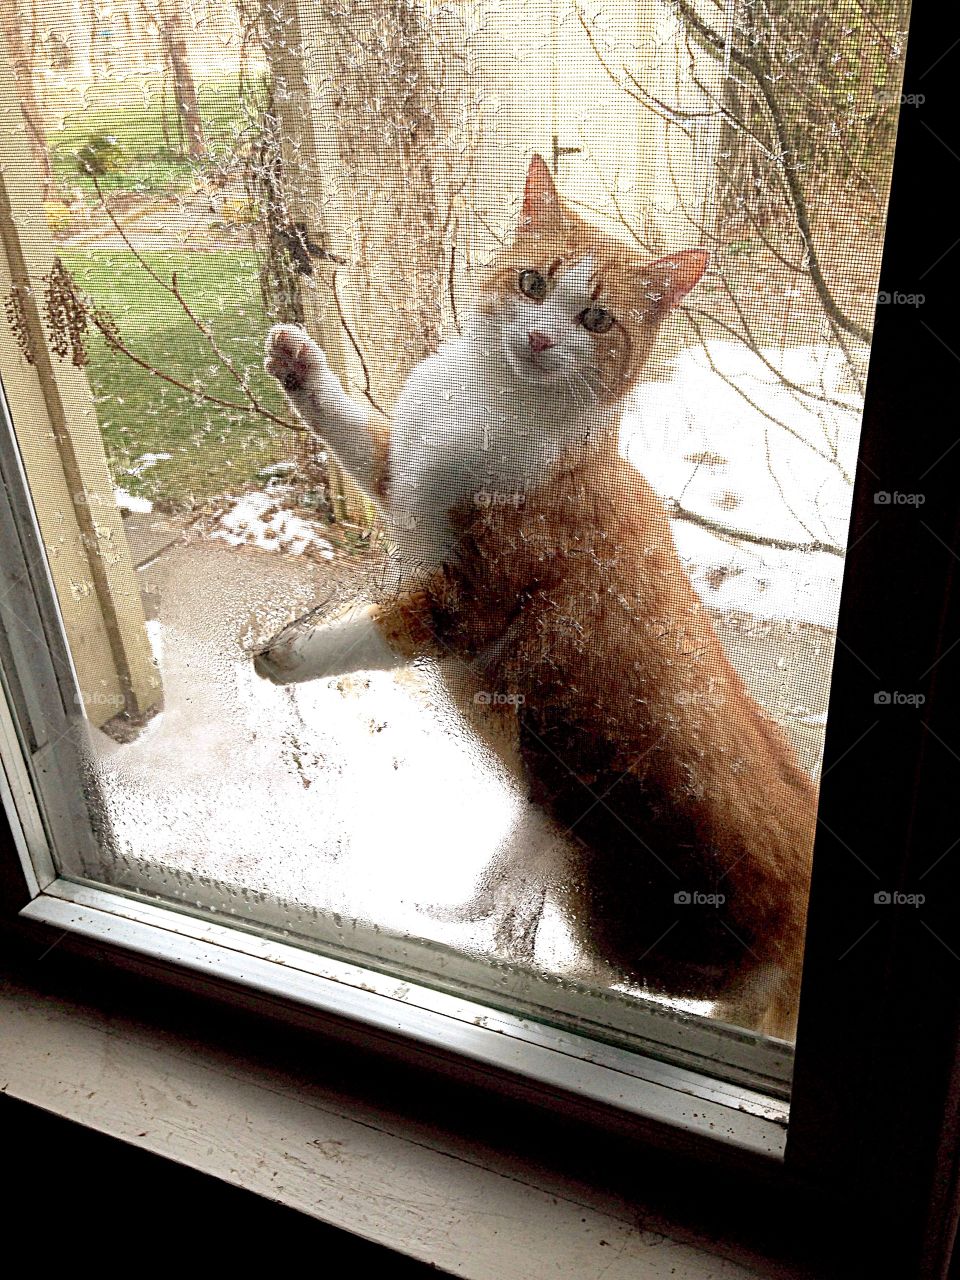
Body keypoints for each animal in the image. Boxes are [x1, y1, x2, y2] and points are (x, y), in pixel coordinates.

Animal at [256, 154, 819, 1044]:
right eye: (532, 283)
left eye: (594, 317)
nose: (542, 337)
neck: (495, 405)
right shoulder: (399, 477)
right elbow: (356, 432)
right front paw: (298, 359)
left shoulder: (463, 603)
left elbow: (373, 633)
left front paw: (282, 657)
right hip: (541, 809)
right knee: (502, 897)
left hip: (615, 915)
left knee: (657, 994)